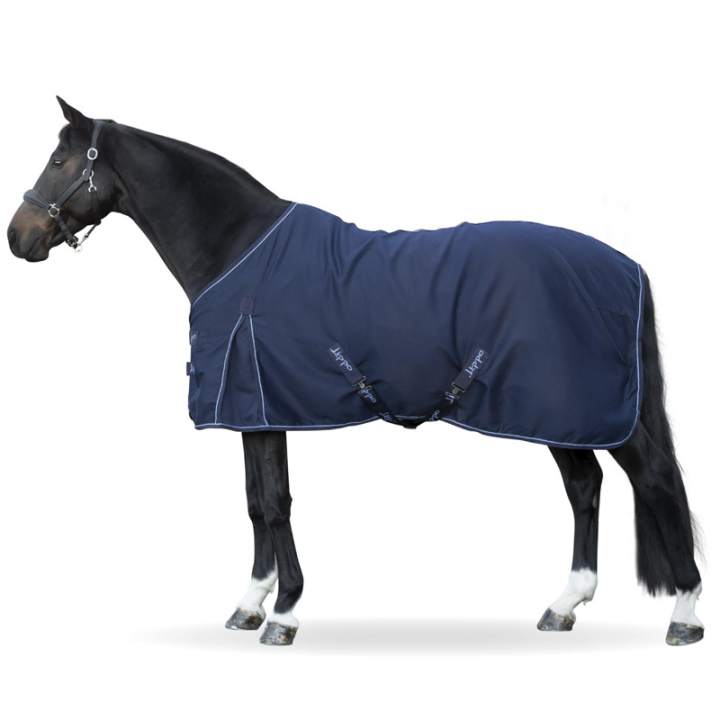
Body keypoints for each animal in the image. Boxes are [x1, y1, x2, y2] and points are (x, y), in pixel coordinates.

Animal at [7, 97, 704, 647]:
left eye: (62, 162)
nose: (18, 236)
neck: (238, 249)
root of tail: (625, 266)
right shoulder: (253, 411)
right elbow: (256, 503)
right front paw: (250, 604)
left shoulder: (264, 406)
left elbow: (276, 504)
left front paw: (284, 614)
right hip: (556, 412)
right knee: (585, 487)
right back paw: (564, 605)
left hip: (589, 408)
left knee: (657, 479)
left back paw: (685, 613)